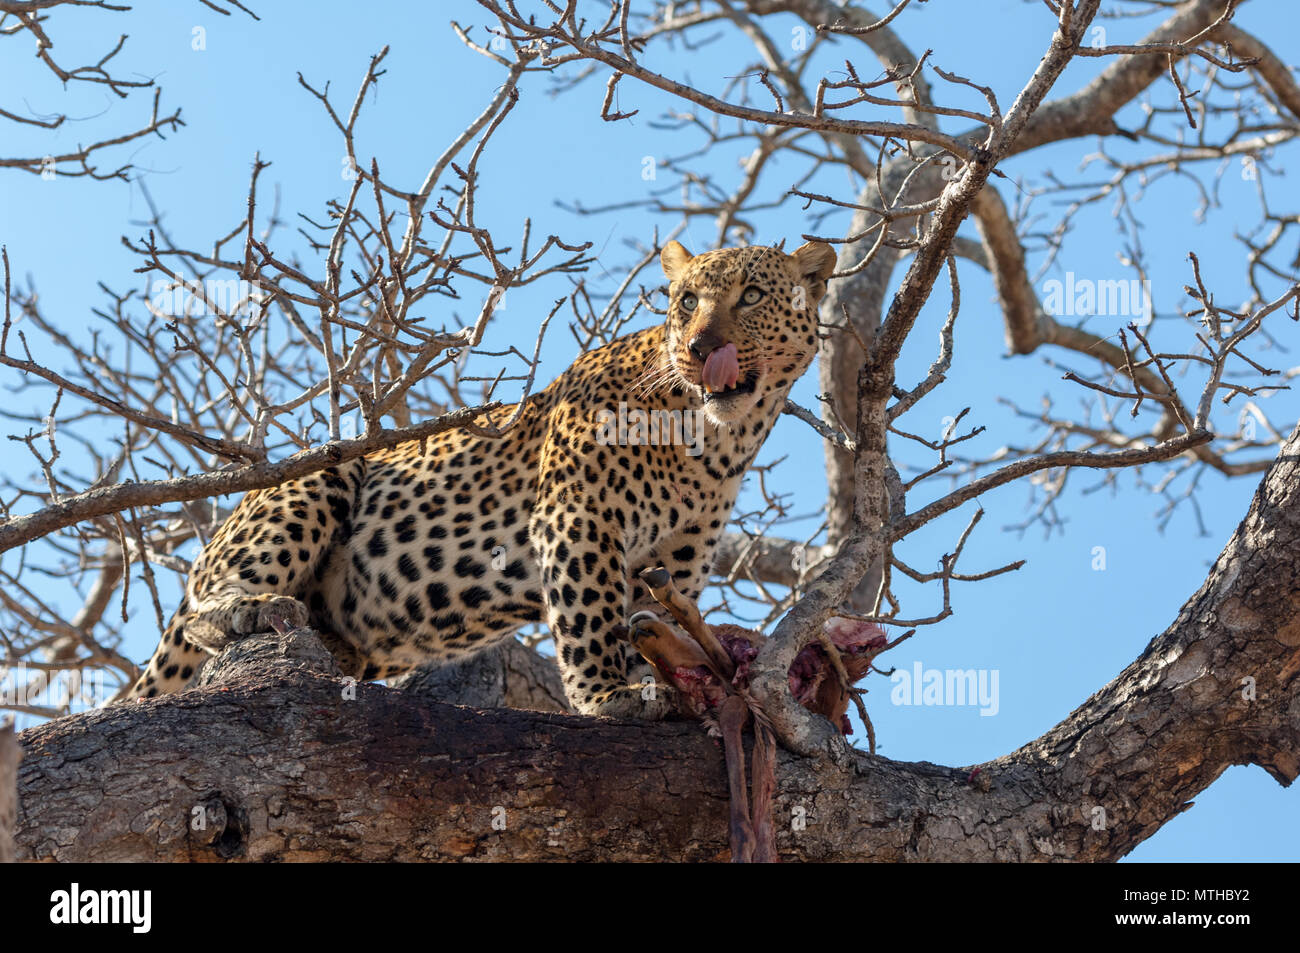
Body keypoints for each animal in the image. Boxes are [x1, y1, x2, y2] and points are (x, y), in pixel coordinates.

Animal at [122, 237, 832, 712]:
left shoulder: (676, 564)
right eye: (687, 302)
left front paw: (655, 684)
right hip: (316, 483)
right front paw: (606, 695)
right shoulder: (577, 516)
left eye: (752, 296)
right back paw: (251, 608)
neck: (714, 440)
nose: (700, 348)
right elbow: (591, 614)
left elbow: (643, 624)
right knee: (201, 608)